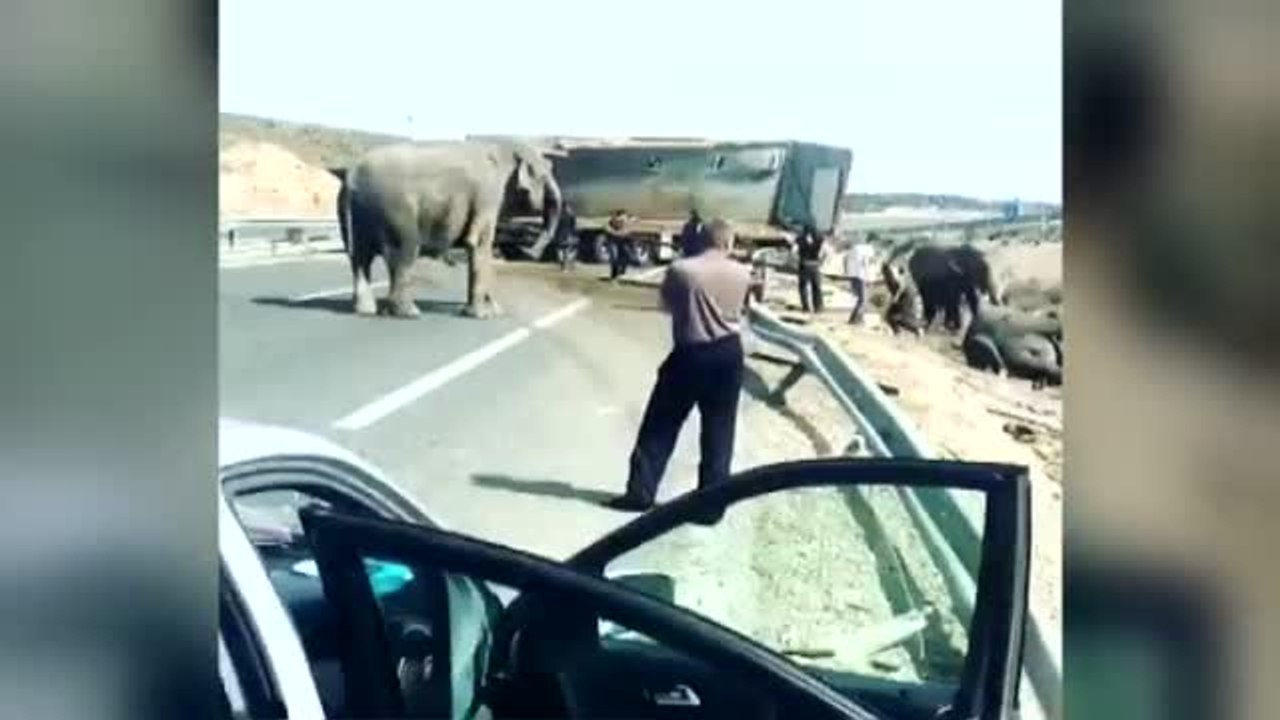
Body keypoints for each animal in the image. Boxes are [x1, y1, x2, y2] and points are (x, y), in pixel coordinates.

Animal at [338, 140, 562, 319]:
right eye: (544, 176)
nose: (529, 252)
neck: (504, 148)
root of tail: (350, 177)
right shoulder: (487, 195)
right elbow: (478, 243)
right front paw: (482, 316)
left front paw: (495, 311)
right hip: (393, 211)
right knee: (403, 253)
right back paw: (409, 313)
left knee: (359, 259)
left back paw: (366, 311)